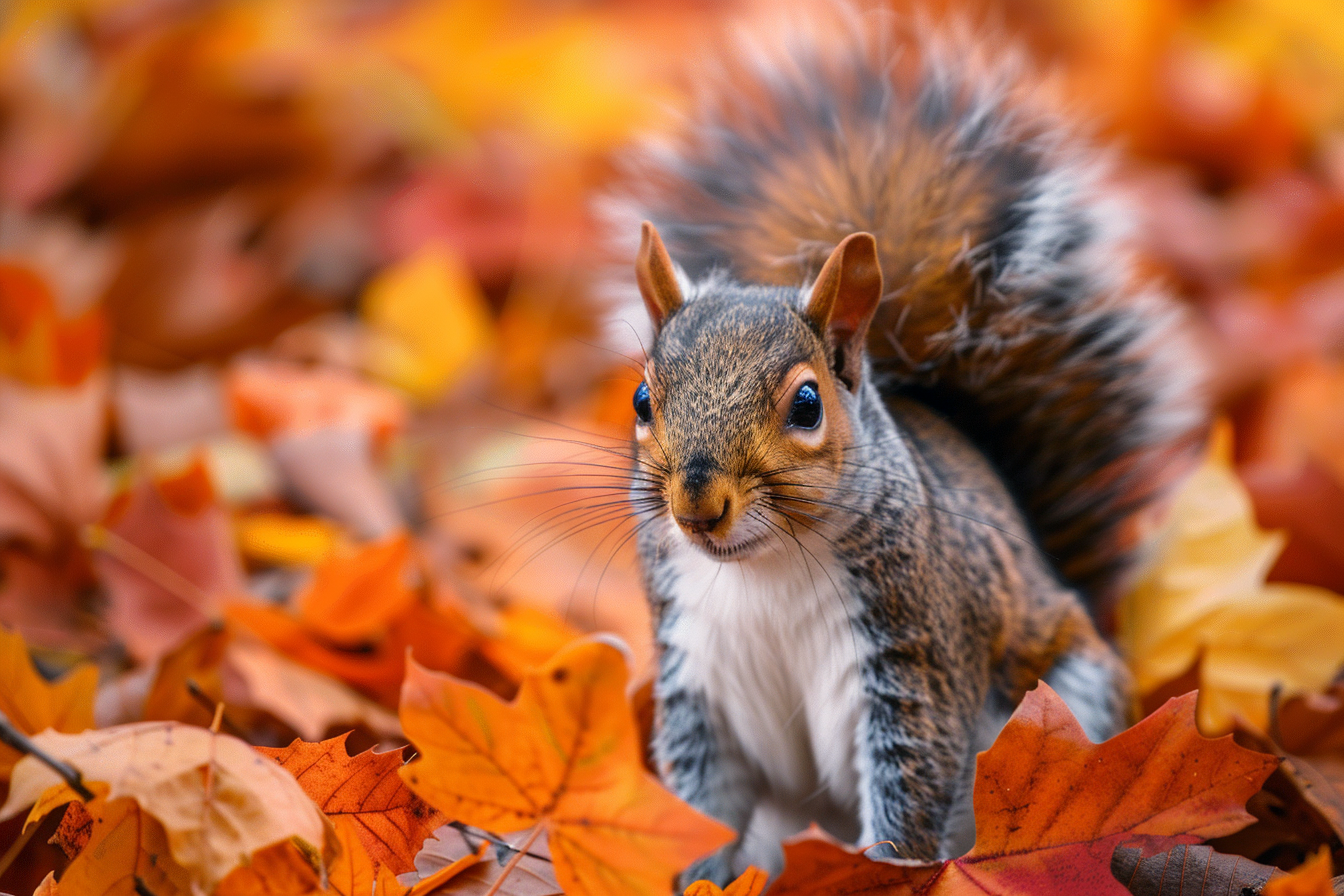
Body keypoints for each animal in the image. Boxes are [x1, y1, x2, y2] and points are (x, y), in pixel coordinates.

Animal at [602, 7, 1206, 883]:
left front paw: (883, 874)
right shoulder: (692, 672)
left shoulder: (912, 658)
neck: (762, 570)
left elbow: (908, 797)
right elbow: (701, 809)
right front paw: (695, 879)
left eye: (807, 404)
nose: (697, 504)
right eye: (643, 399)